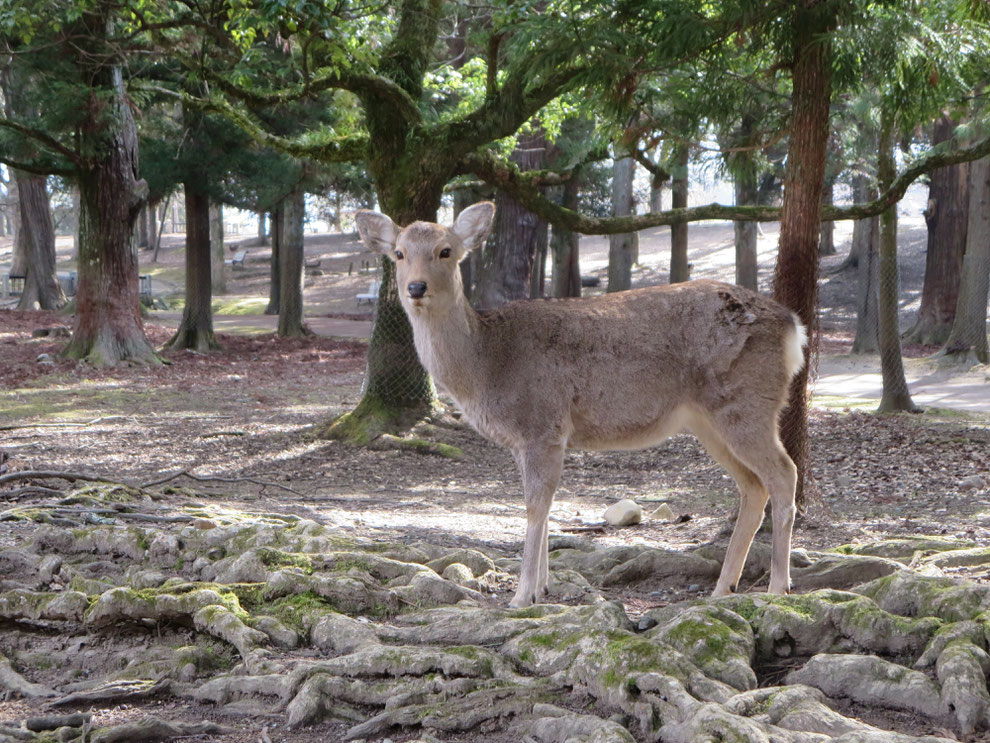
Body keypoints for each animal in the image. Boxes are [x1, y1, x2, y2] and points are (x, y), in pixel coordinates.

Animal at [356, 201, 808, 608]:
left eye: (445, 251)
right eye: (399, 253)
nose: (416, 287)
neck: (487, 364)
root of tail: (794, 327)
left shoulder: (542, 424)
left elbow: (535, 505)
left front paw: (522, 595)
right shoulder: (528, 439)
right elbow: (544, 504)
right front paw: (541, 589)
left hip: (747, 402)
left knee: (784, 473)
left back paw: (778, 587)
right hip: (709, 420)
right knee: (753, 486)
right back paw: (722, 589)